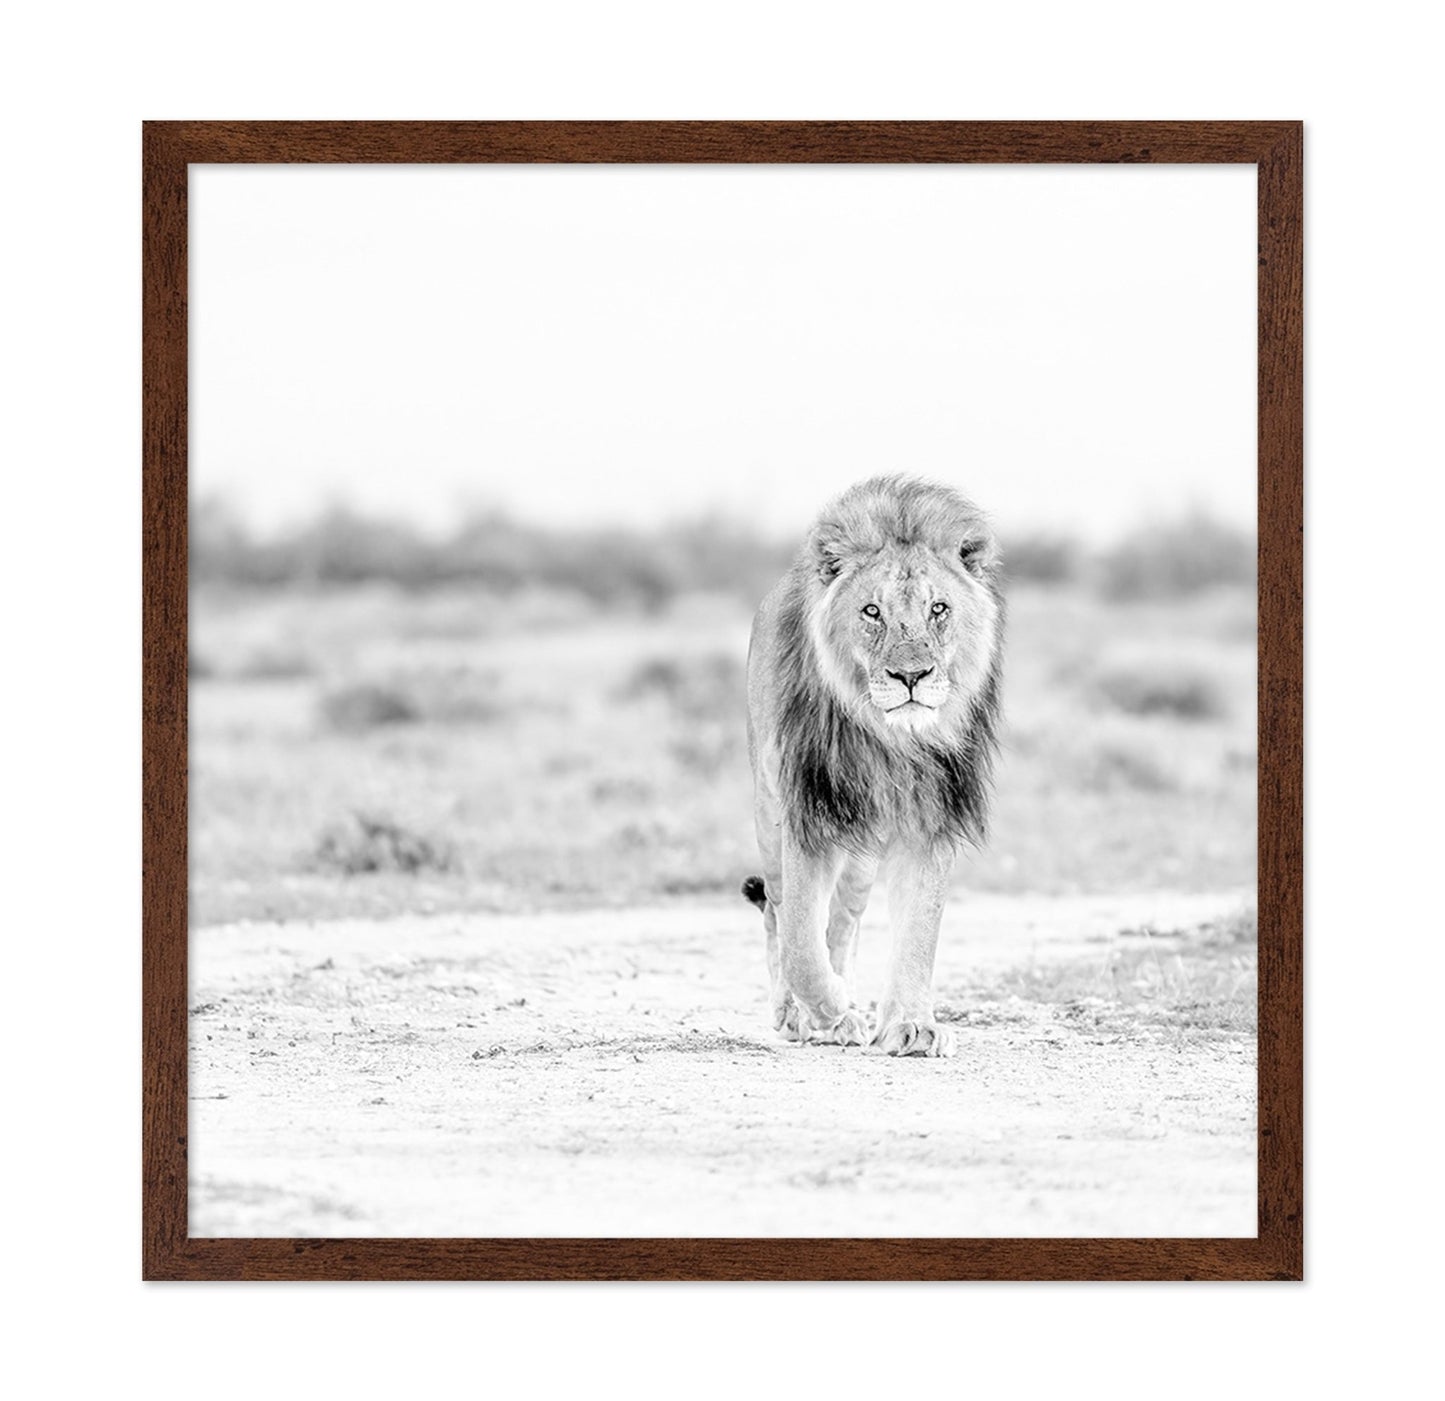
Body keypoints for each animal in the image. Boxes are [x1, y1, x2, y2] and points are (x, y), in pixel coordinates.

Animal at [742, 474, 1004, 1058]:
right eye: (871, 612)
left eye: (938, 609)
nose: (912, 676)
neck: (890, 741)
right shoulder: (808, 814)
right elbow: (800, 945)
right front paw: (830, 1012)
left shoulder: (930, 820)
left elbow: (919, 933)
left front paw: (911, 1024)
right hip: (770, 817)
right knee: (777, 910)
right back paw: (801, 1014)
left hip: (861, 855)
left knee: (843, 921)